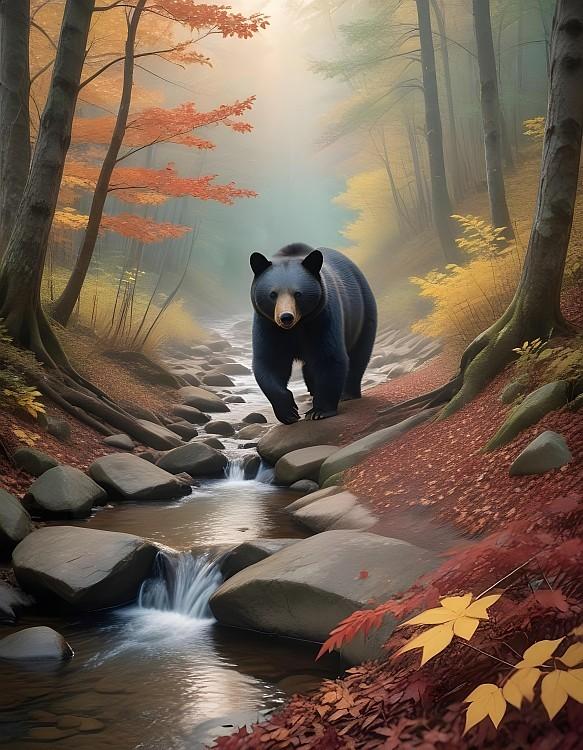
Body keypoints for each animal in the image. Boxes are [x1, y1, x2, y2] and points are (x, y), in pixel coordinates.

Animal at [250, 242, 377, 424]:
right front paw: (289, 412)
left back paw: (348, 393)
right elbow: (270, 362)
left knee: (359, 355)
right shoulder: (268, 325)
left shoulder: (322, 318)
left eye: (298, 294)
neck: (296, 327)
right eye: (273, 294)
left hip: (363, 312)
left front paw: (319, 411)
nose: (286, 317)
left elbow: (329, 357)